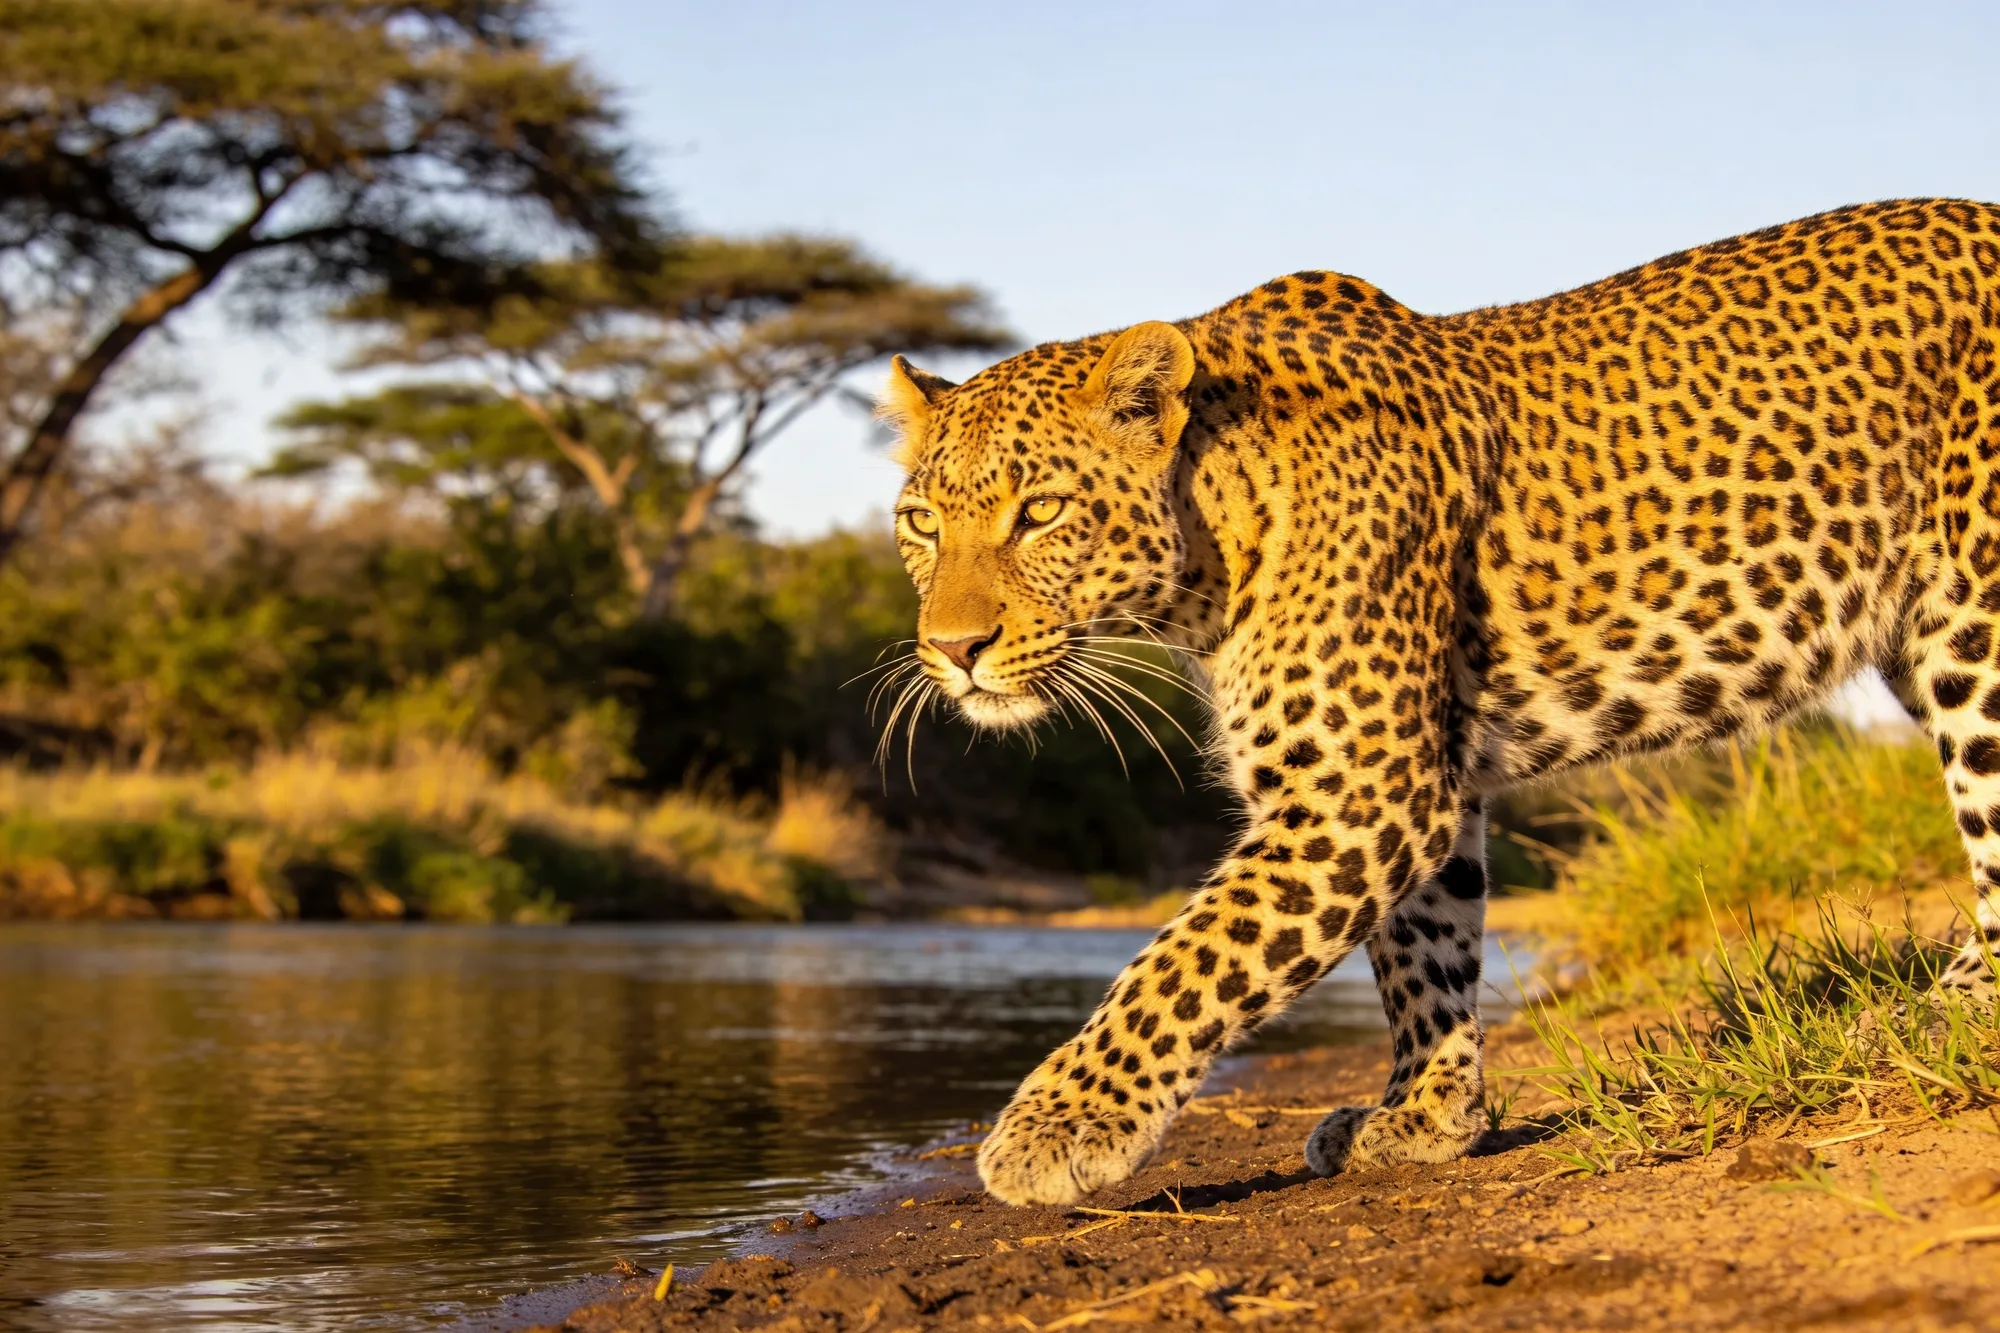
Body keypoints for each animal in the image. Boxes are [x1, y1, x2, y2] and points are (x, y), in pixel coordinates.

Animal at [878, 198, 2000, 1208]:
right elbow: (1425, 948)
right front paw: (1425, 1116)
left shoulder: (1360, 791)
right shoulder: (1425, 785)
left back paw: (1945, 1017)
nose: (954, 649)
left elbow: (1190, 957)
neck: (1210, 537)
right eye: (922, 523)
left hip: (1975, 628)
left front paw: (1054, 1126)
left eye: (1040, 513)